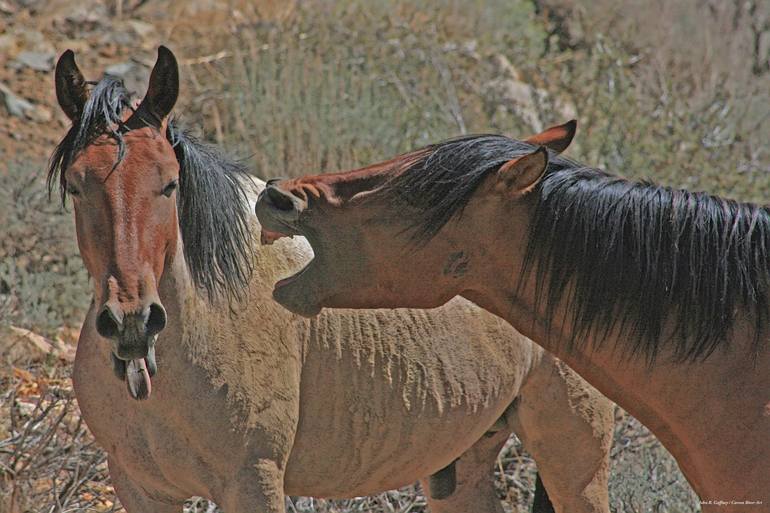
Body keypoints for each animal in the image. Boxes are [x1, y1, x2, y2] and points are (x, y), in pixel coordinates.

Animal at [48, 49, 612, 512]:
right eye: (75, 186)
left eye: (169, 184)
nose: (133, 322)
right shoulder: (142, 490)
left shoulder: (253, 483)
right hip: (464, 463)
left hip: (575, 459)